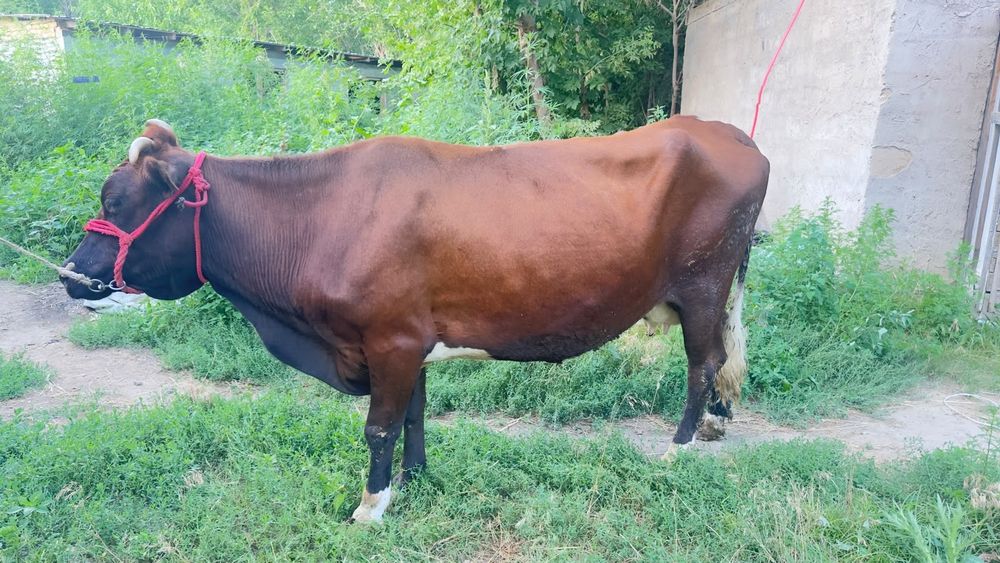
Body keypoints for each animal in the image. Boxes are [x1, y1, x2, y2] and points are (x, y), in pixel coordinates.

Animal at [62, 117, 768, 523]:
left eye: (117, 200)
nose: (71, 275)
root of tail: (727, 132)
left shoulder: (389, 340)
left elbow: (378, 427)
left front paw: (371, 508)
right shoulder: (408, 339)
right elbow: (413, 416)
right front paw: (415, 479)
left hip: (703, 282)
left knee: (702, 363)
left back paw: (677, 449)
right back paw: (711, 428)